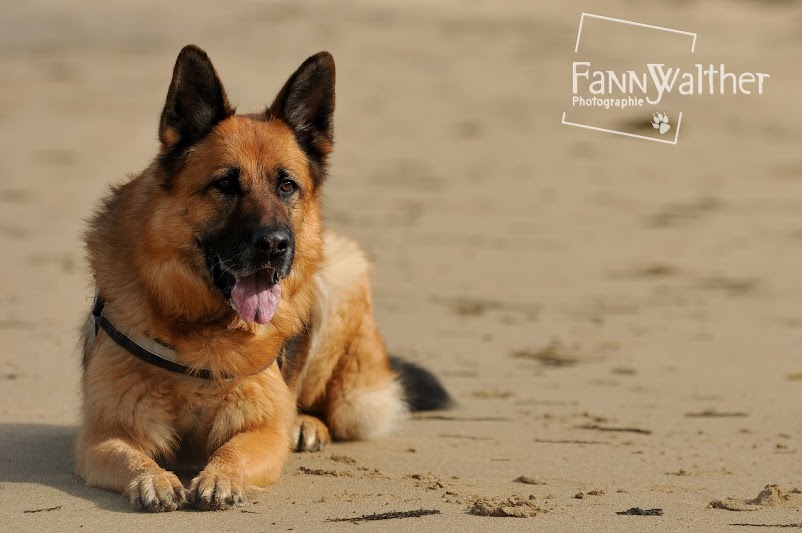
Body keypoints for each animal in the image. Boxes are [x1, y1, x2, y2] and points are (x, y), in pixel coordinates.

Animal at [77, 45, 446, 512]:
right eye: (225, 185)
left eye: (286, 185)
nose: (274, 244)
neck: (204, 331)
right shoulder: (102, 437)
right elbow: (131, 456)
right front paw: (153, 479)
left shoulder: (263, 432)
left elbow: (234, 449)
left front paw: (221, 476)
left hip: (341, 274)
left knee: (326, 407)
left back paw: (306, 423)